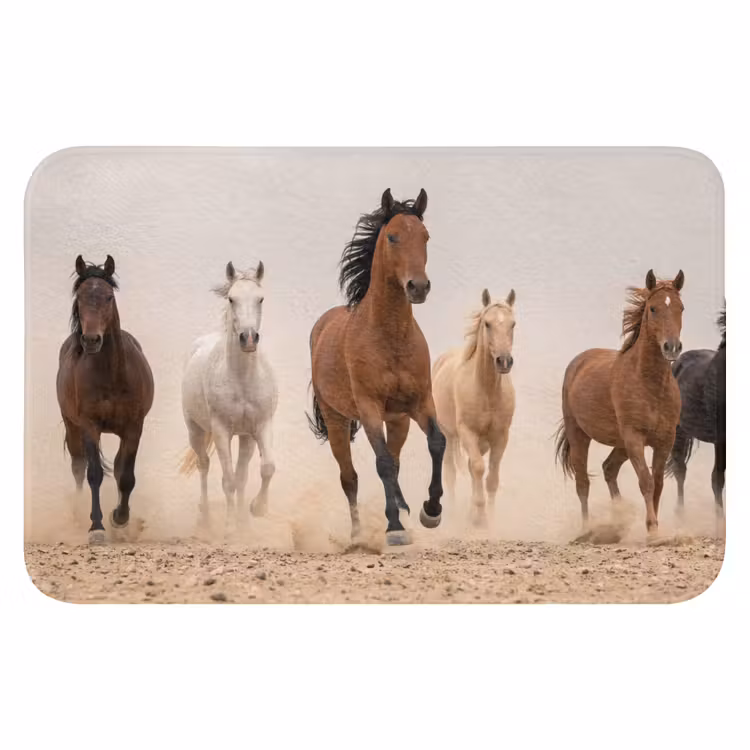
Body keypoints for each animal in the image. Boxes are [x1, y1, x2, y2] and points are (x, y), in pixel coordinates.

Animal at [56, 255, 154, 544]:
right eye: (79, 296)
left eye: (109, 296)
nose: (91, 339)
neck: (112, 375)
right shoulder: (89, 426)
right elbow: (94, 475)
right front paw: (96, 527)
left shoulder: (134, 427)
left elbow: (127, 476)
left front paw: (120, 519)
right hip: (72, 426)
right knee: (78, 467)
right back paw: (79, 514)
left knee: (120, 467)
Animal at [180, 261, 277, 529]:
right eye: (232, 299)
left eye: (261, 298)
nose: (249, 338)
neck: (242, 380)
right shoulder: (222, 431)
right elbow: (229, 481)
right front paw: (230, 528)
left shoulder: (260, 427)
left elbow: (266, 468)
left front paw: (255, 511)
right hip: (196, 431)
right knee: (204, 465)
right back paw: (205, 518)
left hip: (244, 438)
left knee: (242, 474)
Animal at [307, 188, 445, 546]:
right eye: (393, 236)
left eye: (425, 236)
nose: (418, 287)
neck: (391, 336)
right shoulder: (369, 407)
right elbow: (381, 463)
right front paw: (394, 528)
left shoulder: (419, 403)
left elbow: (437, 443)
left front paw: (430, 511)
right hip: (337, 420)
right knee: (350, 477)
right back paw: (359, 534)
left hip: (398, 420)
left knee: (394, 462)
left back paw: (406, 510)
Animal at [432, 287, 517, 526]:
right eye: (487, 324)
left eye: (513, 324)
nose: (504, 361)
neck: (486, 391)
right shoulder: (467, 433)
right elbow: (478, 468)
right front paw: (479, 517)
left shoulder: (500, 437)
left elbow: (492, 478)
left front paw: (489, 516)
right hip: (449, 435)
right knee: (451, 473)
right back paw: (452, 511)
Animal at [554, 269, 685, 535]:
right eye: (653, 308)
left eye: (681, 308)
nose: (672, 347)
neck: (650, 384)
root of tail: (578, 361)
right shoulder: (634, 437)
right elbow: (645, 481)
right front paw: (652, 530)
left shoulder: (665, 440)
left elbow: (657, 483)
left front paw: (655, 529)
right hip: (579, 434)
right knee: (583, 483)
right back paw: (587, 529)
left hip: (620, 444)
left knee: (608, 468)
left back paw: (618, 520)